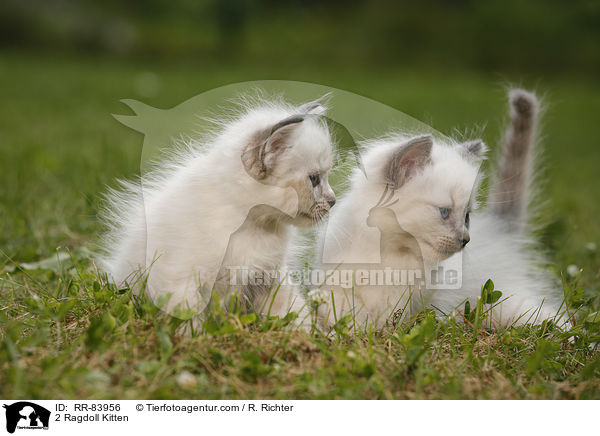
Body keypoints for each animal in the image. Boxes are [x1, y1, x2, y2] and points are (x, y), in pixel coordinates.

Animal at [96, 96, 336, 320]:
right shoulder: (181, 277)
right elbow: (187, 319)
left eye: (325, 177)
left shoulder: (268, 277)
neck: (252, 227)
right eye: (314, 179)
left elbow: (294, 313)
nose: (333, 200)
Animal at [314, 87, 568, 328]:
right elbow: (339, 316)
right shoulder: (334, 288)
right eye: (445, 212)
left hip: (510, 307)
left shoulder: (409, 307)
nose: (465, 240)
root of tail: (500, 228)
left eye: (466, 217)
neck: (390, 256)